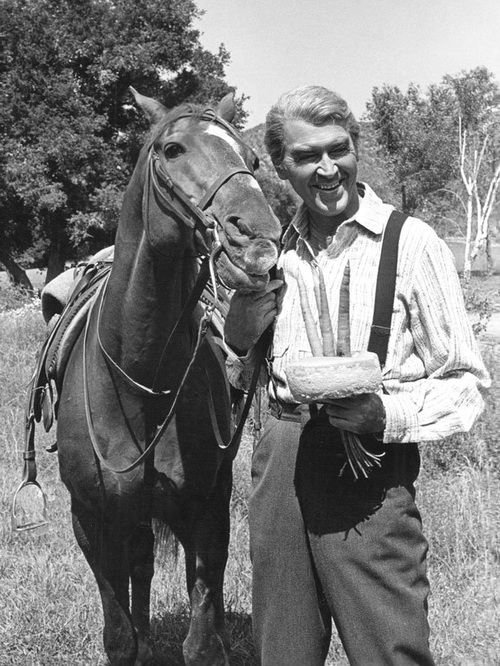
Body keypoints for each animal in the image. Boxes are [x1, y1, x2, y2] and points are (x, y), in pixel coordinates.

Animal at [54, 89, 281, 664]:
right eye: (173, 149)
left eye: (252, 159)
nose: (259, 240)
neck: (141, 376)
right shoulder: (91, 520)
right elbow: (119, 636)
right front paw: (134, 637)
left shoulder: (204, 509)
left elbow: (201, 636)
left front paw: (208, 637)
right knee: (140, 570)